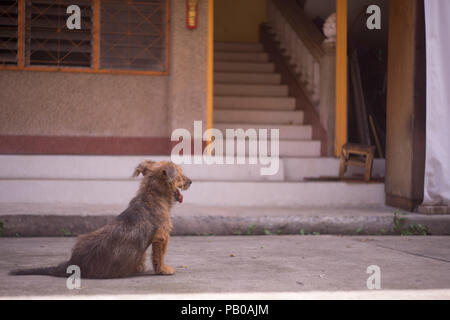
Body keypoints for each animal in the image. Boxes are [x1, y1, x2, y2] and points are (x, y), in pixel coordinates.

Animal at [9, 160, 192, 278]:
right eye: (180, 174)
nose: (191, 181)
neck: (152, 195)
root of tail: (72, 262)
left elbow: (142, 255)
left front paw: (139, 267)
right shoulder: (162, 236)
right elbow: (158, 256)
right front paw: (163, 270)